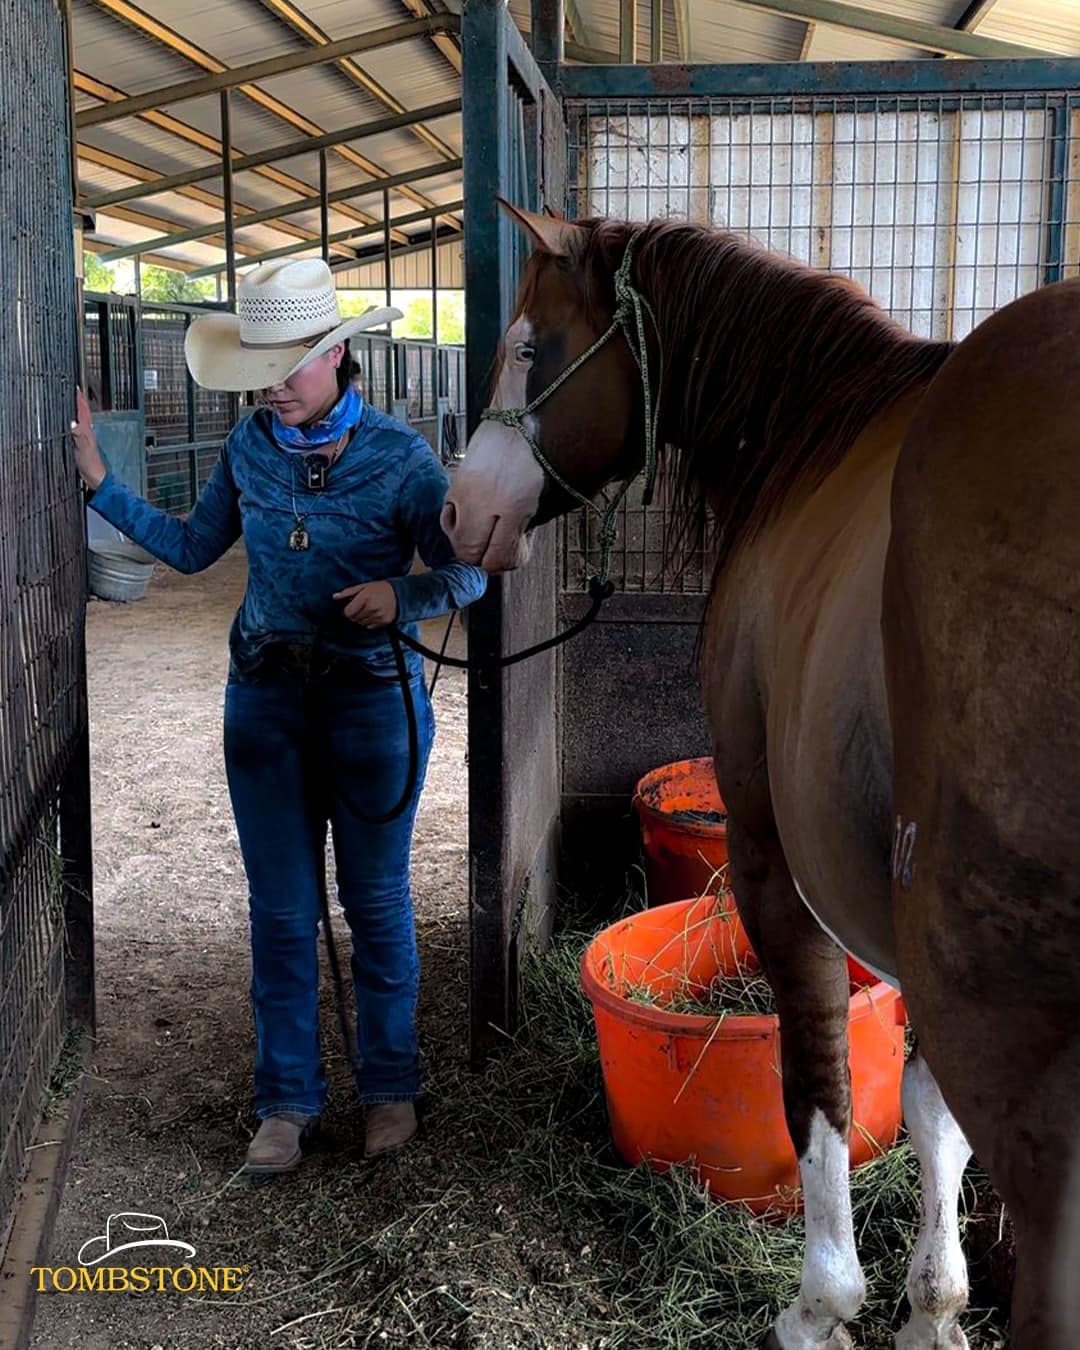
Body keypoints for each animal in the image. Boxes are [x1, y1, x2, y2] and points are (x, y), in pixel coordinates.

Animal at [440, 202, 1080, 1350]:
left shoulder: (777, 857)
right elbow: (931, 1111)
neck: (816, 439)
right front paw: (934, 1310)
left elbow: (818, 1079)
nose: (458, 513)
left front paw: (823, 1305)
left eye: (524, 349)